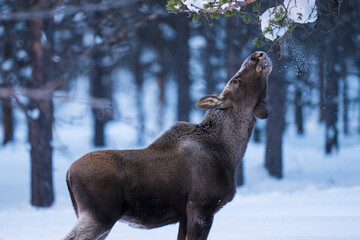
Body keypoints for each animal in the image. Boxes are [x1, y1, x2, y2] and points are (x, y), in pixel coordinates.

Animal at [65, 51, 272, 240]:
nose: (258, 54)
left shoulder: (184, 215)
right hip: (100, 215)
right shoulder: (201, 206)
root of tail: (68, 173)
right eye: (235, 81)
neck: (229, 153)